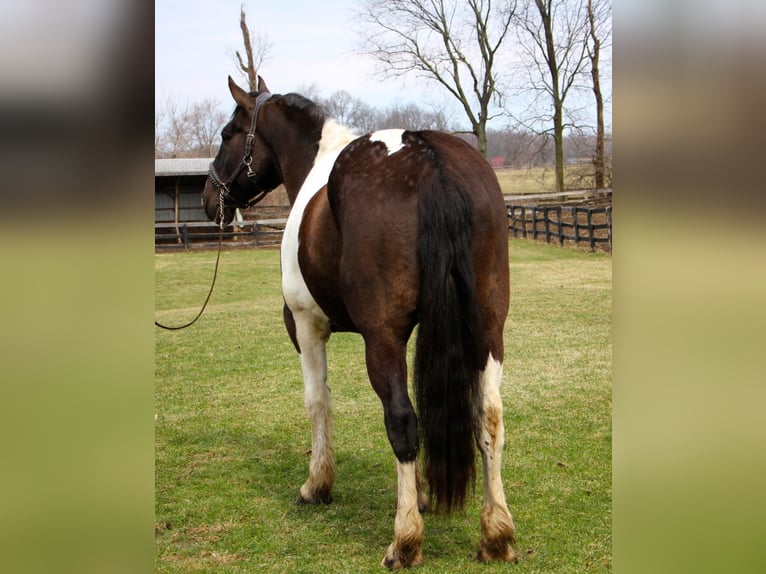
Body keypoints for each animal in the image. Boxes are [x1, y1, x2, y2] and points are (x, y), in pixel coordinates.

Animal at [201, 77, 520, 572]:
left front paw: (317, 486)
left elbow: (318, 402)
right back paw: (496, 535)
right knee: (487, 417)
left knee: (402, 421)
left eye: (227, 134)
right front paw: (419, 496)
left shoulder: (306, 327)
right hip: (487, 329)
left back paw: (405, 541)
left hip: (382, 338)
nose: (207, 198)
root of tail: (430, 160)